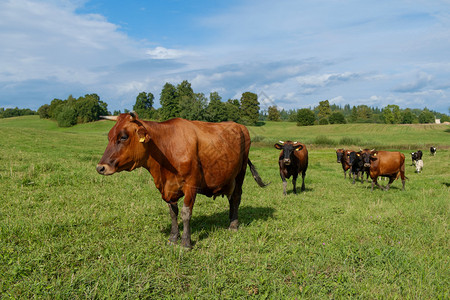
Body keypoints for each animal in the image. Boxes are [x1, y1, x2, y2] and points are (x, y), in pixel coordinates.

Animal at [96, 112, 268, 248]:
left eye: (123, 137)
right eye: (109, 136)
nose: (100, 167)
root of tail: (239, 125)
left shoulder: (191, 185)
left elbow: (186, 213)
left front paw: (186, 242)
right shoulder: (169, 188)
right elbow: (173, 212)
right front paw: (173, 238)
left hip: (240, 173)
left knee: (236, 197)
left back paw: (233, 225)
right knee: (231, 198)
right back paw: (231, 219)